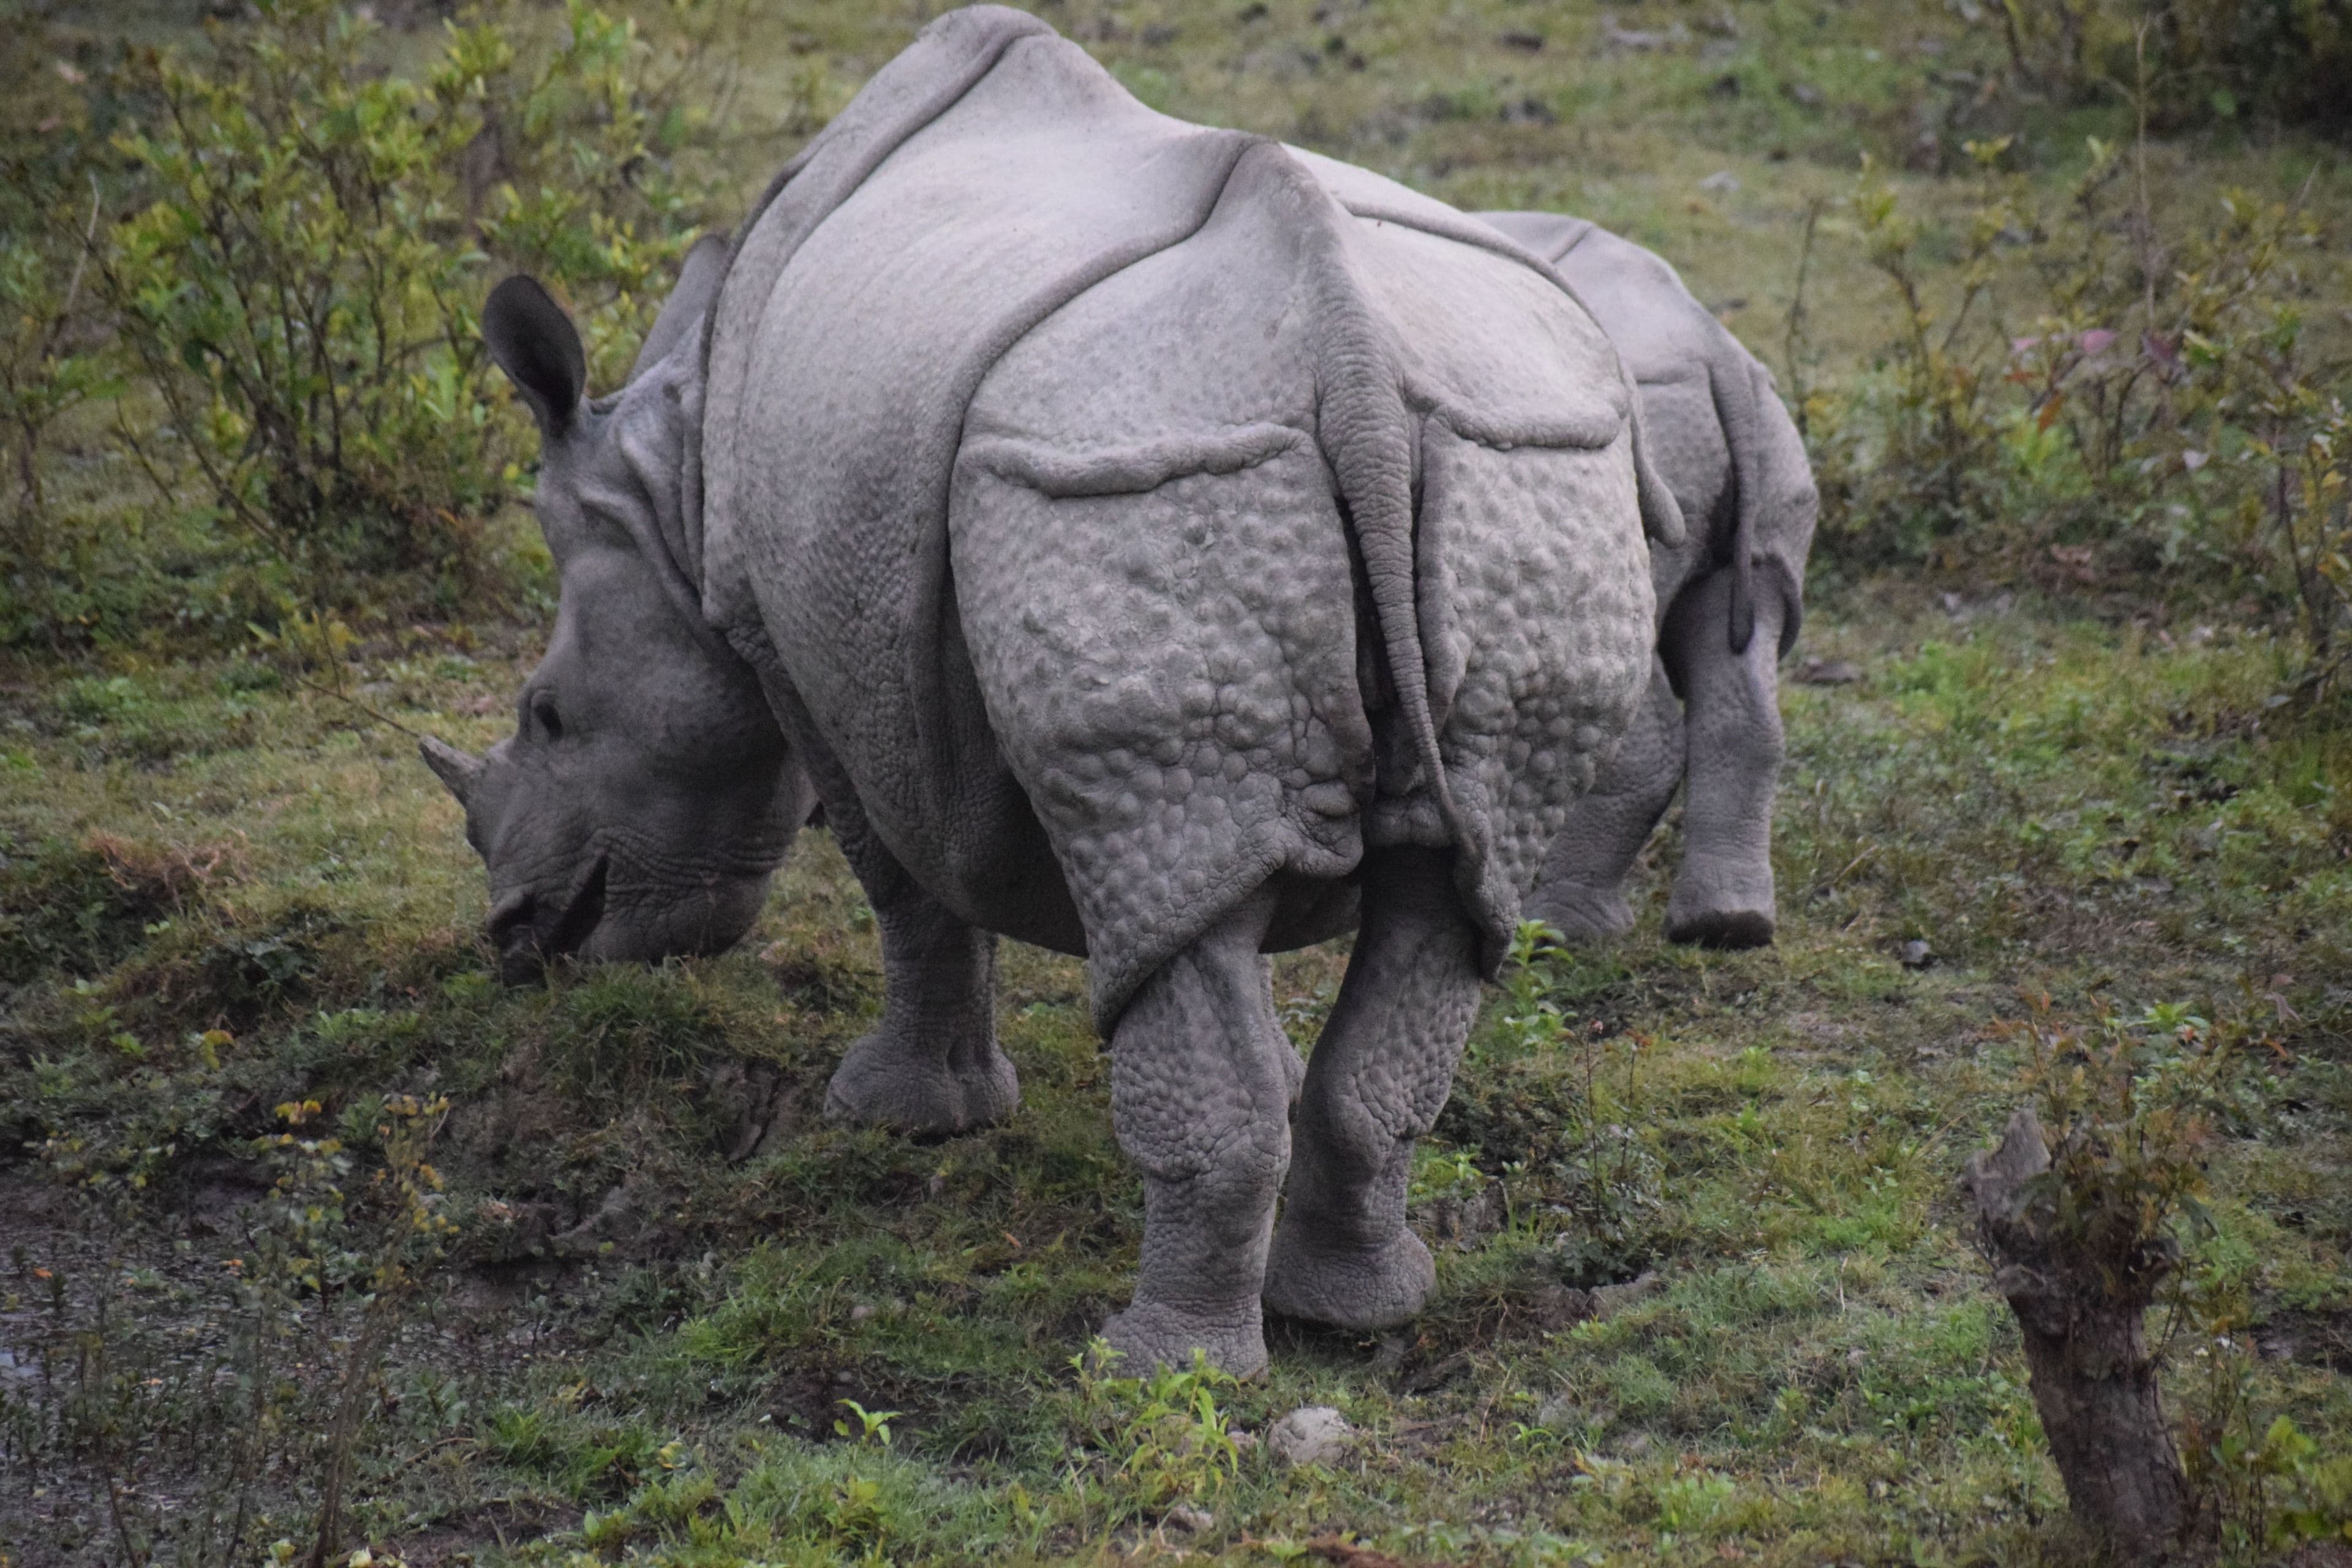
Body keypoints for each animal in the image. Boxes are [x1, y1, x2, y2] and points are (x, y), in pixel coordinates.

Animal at [420, 6, 1682, 1375]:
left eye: (549, 715)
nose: (517, 941)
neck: (673, 490)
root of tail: (1350, 359)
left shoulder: (790, 644)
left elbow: (905, 886)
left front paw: (901, 1117)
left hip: (1132, 469)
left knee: (1183, 856)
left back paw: (1145, 1368)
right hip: (1519, 460)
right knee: (1445, 897)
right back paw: (1360, 1312)